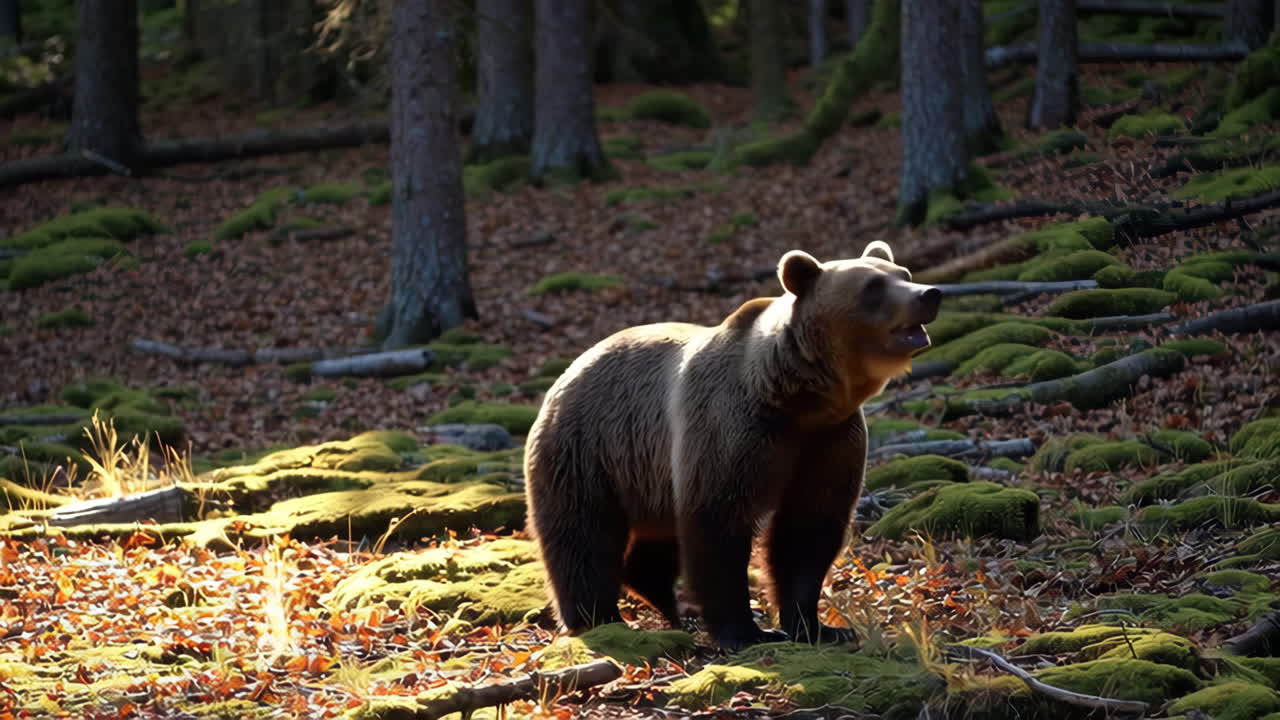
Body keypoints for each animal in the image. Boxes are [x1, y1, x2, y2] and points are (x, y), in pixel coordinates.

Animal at [523, 241, 941, 650]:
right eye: (873, 286)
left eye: (903, 273)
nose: (929, 293)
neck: (796, 399)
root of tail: (569, 371)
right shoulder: (732, 428)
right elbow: (719, 523)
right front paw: (747, 632)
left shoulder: (830, 439)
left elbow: (808, 529)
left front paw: (819, 627)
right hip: (590, 447)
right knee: (581, 533)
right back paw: (597, 617)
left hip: (647, 475)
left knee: (653, 542)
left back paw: (667, 605)